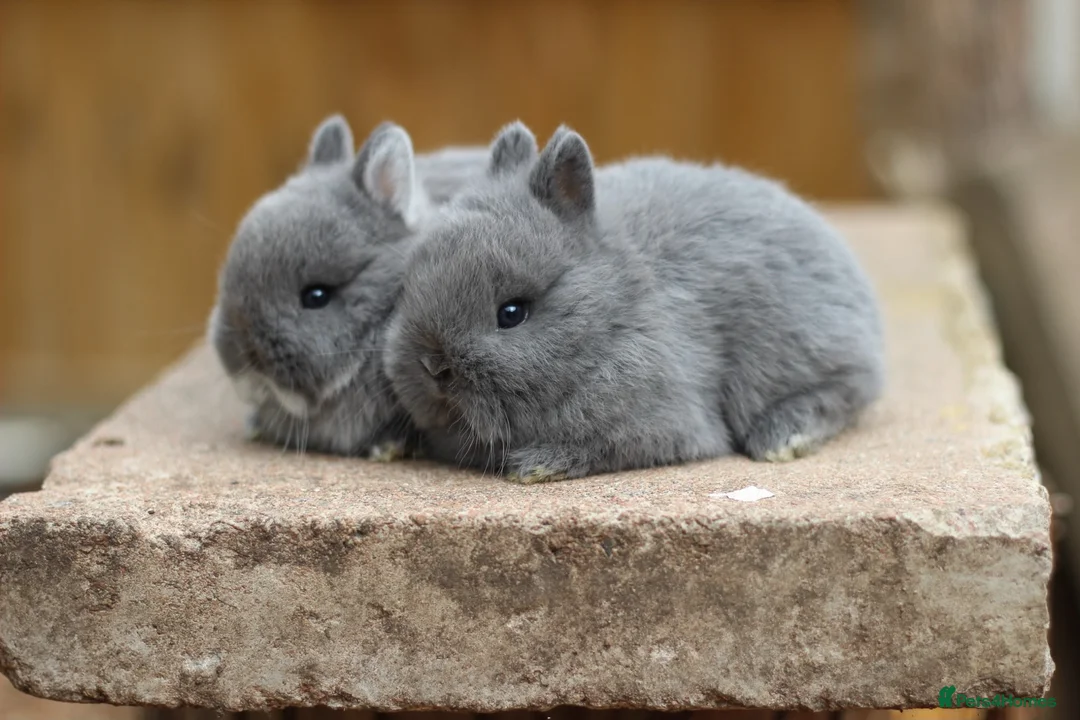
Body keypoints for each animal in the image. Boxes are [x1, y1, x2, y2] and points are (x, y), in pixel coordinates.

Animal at [383, 121, 885, 482]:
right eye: (410, 283)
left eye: (512, 313)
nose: (433, 366)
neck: (610, 314)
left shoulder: (664, 422)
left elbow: (602, 446)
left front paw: (537, 467)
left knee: (844, 391)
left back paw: (782, 438)